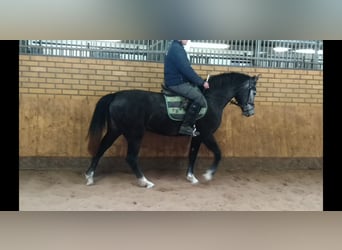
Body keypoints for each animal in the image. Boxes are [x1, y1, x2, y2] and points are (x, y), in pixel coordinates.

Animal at [85, 71, 260, 188]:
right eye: (253, 92)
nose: (250, 112)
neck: (211, 99)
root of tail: (115, 95)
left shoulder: (197, 136)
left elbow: (192, 155)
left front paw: (191, 177)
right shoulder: (206, 134)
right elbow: (218, 153)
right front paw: (208, 175)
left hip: (115, 130)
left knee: (101, 148)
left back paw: (90, 177)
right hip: (135, 134)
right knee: (131, 158)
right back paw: (145, 182)